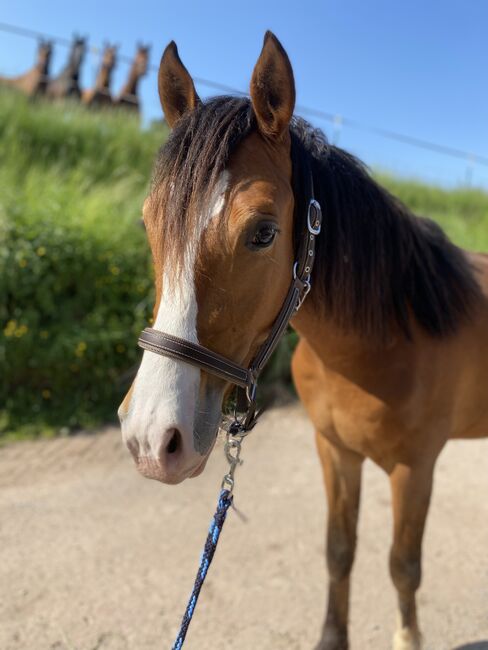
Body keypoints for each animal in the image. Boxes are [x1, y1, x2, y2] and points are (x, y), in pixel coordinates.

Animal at [119, 33, 488, 648]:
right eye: (149, 223)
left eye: (264, 232)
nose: (152, 439)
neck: (384, 342)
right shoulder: (334, 450)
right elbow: (339, 551)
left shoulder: (415, 469)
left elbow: (403, 567)